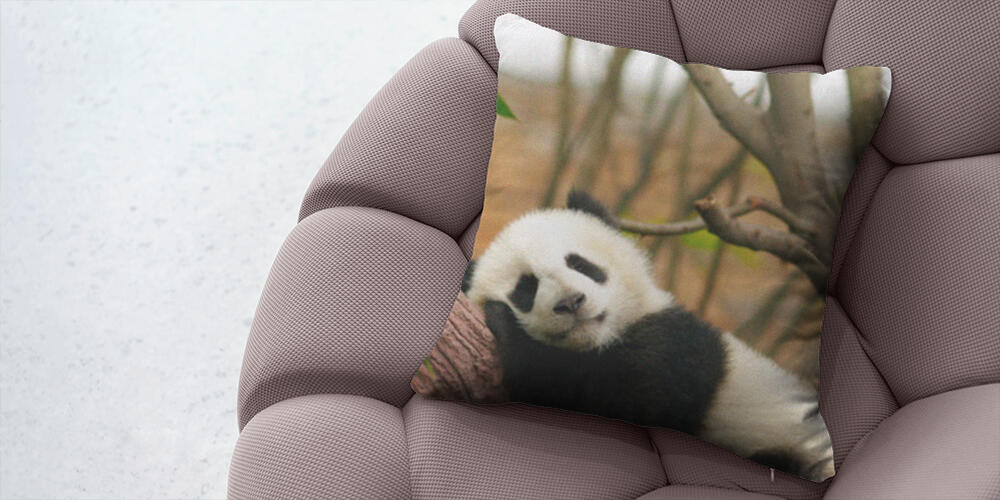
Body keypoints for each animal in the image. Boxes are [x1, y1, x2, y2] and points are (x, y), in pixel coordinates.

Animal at [462, 191, 834, 481]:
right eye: (526, 289)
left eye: (580, 264)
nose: (571, 301)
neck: (603, 340)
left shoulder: (676, 350)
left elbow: (620, 398)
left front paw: (507, 327)